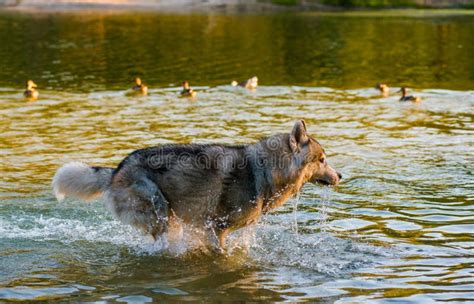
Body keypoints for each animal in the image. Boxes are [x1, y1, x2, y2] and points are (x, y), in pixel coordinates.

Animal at [52, 121, 340, 252]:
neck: (264, 170)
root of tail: (115, 171)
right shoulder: (215, 229)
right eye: (322, 159)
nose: (339, 175)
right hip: (160, 211)